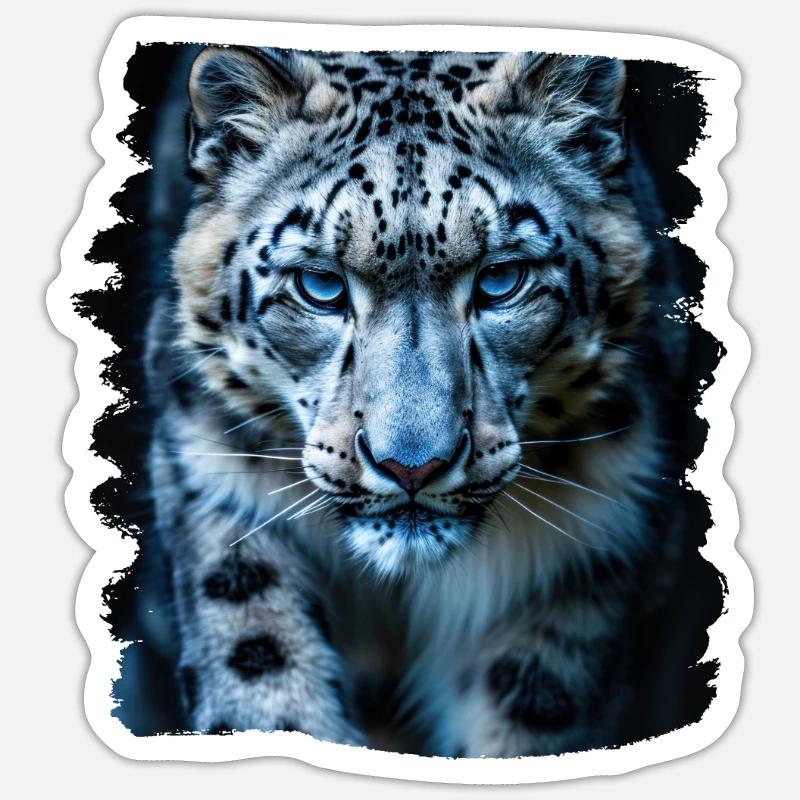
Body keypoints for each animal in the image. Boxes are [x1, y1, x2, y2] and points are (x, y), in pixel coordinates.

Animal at [144, 46, 688, 756]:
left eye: (501, 278)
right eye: (320, 285)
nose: (412, 466)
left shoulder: (584, 568)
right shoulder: (223, 496)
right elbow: (264, 678)